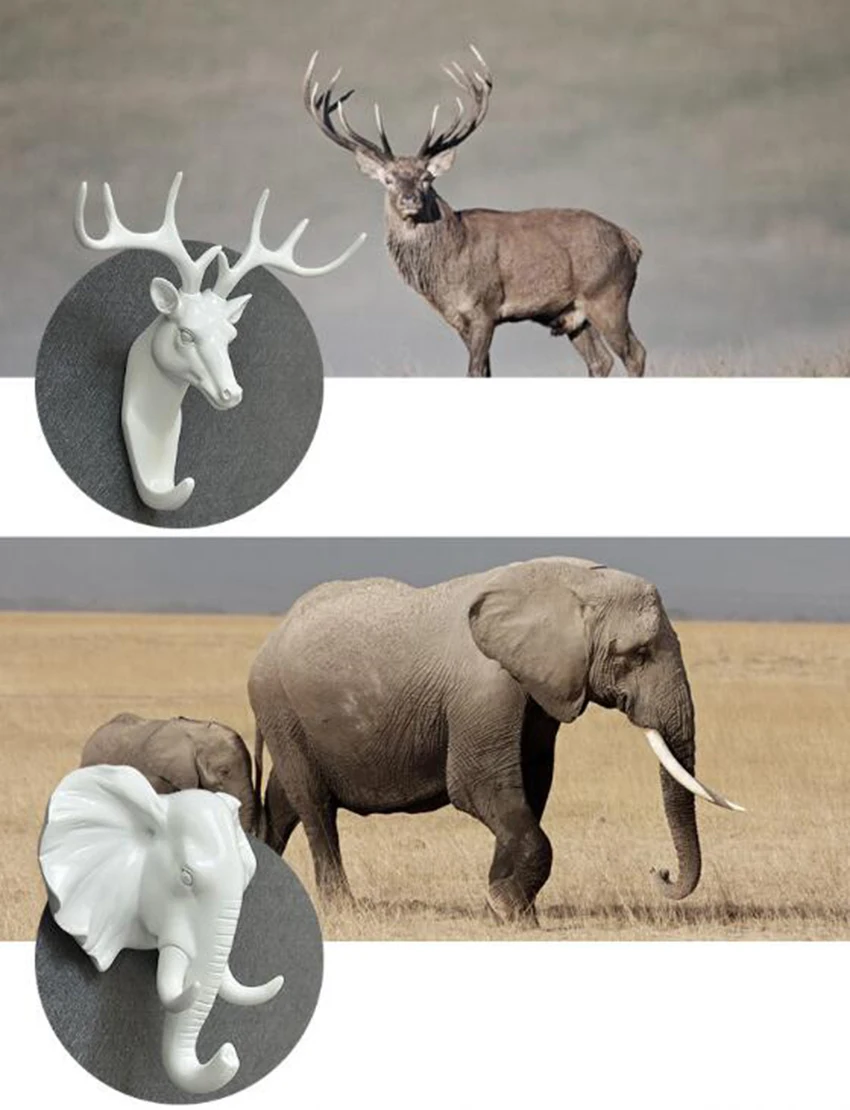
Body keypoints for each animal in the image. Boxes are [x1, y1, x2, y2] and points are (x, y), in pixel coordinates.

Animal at [249, 557, 743, 922]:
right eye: (636, 654)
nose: (660, 872)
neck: (569, 583)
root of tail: (269, 638)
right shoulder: (485, 688)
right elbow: (478, 787)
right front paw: (508, 909)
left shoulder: (540, 689)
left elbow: (532, 785)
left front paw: (507, 904)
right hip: (278, 705)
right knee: (314, 805)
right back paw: (341, 907)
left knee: (284, 799)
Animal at [304, 47, 646, 379]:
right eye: (388, 180)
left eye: (426, 178)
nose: (410, 200)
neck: (449, 265)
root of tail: (631, 242)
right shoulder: (457, 319)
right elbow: (484, 373)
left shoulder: (485, 307)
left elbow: (475, 371)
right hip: (570, 313)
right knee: (600, 361)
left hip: (607, 293)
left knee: (634, 353)